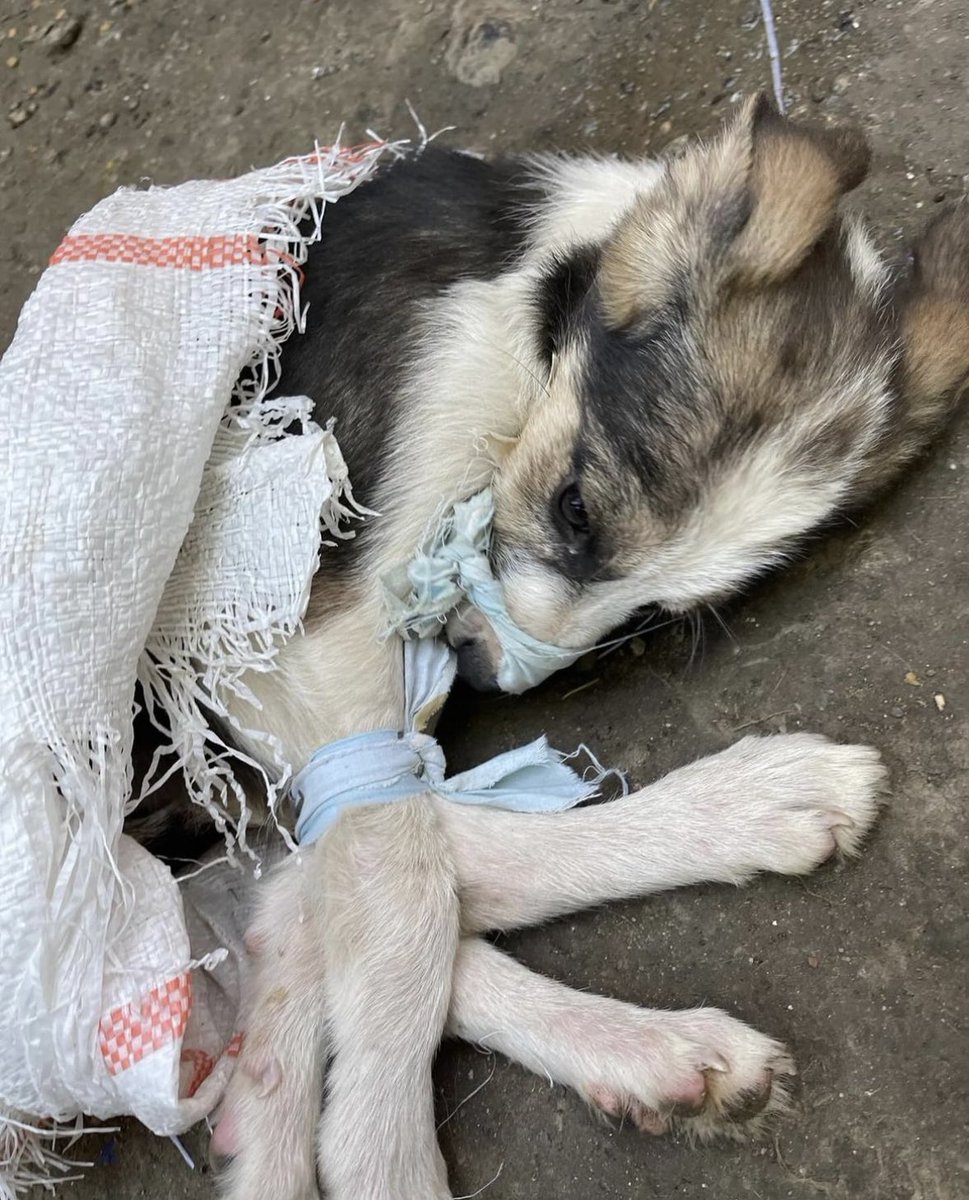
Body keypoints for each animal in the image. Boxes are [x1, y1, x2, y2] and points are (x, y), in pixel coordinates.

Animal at [199, 96, 968, 1200]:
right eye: (575, 508)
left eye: (656, 615)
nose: (482, 674)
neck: (527, 295)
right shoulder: (280, 621)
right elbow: (401, 883)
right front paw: (381, 1151)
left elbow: (400, 867)